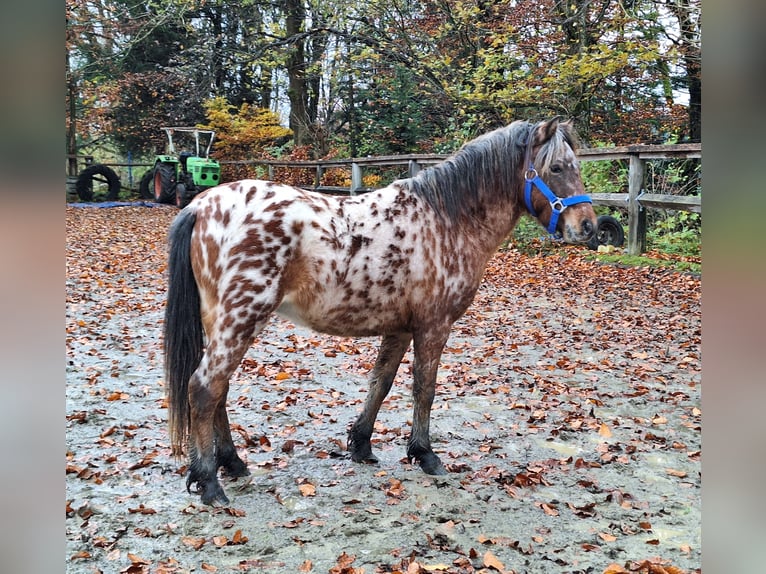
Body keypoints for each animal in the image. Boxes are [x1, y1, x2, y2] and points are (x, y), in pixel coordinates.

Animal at [165, 119, 600, 506]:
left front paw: (361, 445)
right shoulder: (433, 327)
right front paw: (425, 454)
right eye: (557, 168)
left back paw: (233, 464)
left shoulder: (401, 328)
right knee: (204, 388)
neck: (446, 219)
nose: (589, 227)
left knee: (218, 390)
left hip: (221, 322)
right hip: (241, 318)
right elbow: (424, 389)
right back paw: (209, 483)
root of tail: (201, 205)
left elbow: (381, 383)